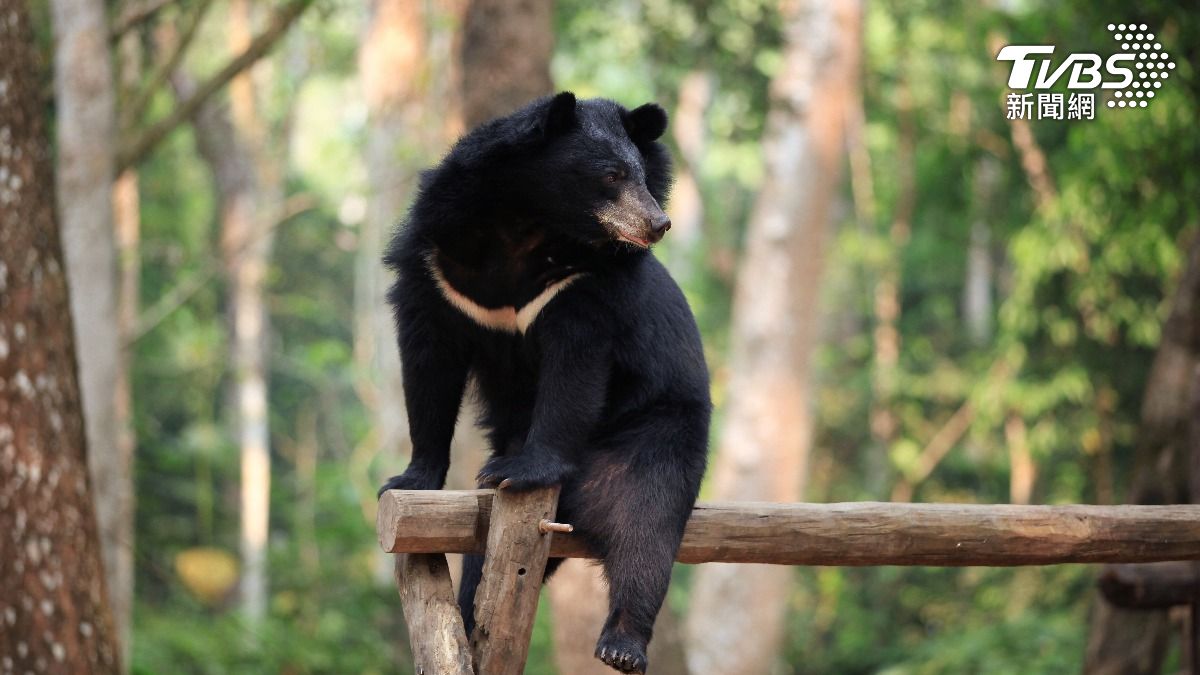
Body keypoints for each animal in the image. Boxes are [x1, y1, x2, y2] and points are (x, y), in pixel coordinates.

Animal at [378, 92, 711, 674]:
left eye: (642, 173)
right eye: (611, 174)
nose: (659, 222)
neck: (526, 222)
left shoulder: (579, 286)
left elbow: (572, 375)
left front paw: (522, 469)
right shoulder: (438, 271)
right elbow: (428, 369)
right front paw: (409, 480)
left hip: (656, 431)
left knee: (646, 523)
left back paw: (622, 645)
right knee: (480, 560)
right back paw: (470, 617)